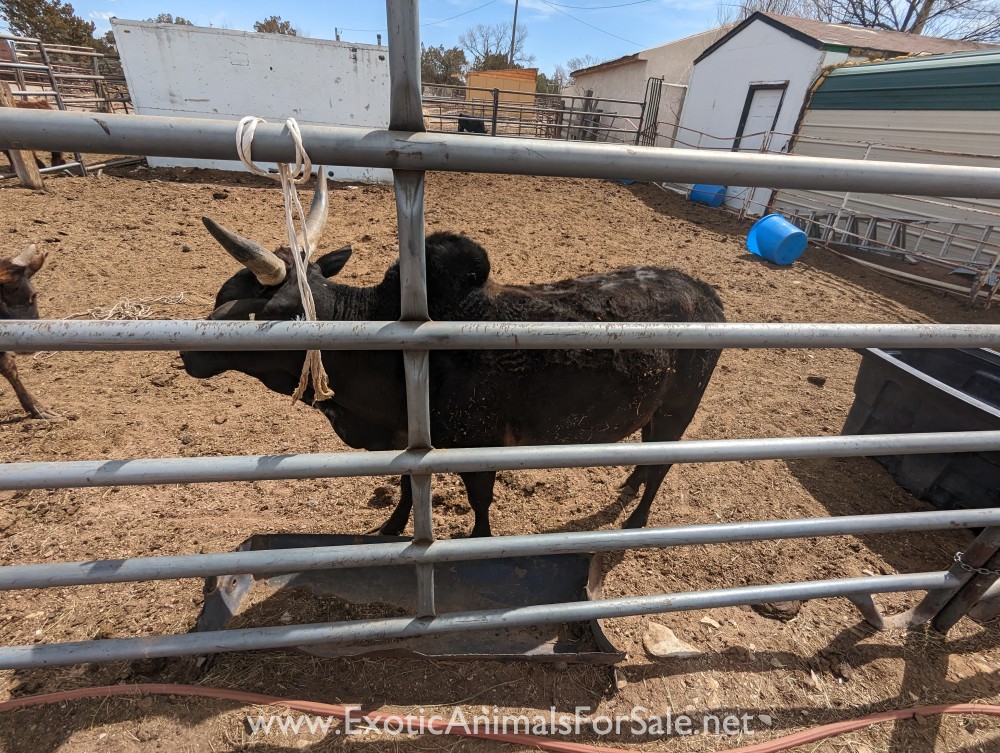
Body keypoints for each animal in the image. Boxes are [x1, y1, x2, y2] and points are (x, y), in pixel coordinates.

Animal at [180, 173, 725, 537]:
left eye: (265, 312)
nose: (188, 351)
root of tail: (705, 293)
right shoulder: (408, 439)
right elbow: (406, 486)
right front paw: (391, 527)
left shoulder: (478, 445)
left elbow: (479, 502)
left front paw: (478, 540)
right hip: (656, 411)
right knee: (648, 453)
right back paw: (630, 484)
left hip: (679, 410)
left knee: (662, 466)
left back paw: (637, 519)